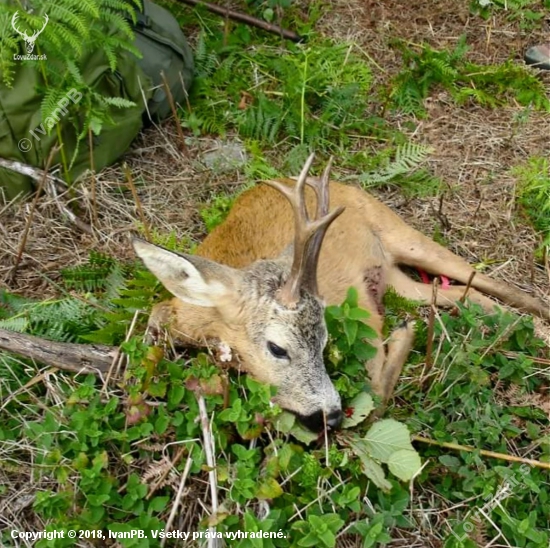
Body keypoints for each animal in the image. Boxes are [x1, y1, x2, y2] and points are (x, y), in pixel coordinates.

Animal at [135, 153, 550, 432]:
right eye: (277, 348)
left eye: (324, 341)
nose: (330, 415)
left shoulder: (362, 321)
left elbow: (374, 400)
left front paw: (405, 335)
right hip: (396, 279)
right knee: (465, 294)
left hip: (399, 231)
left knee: (489, 281)